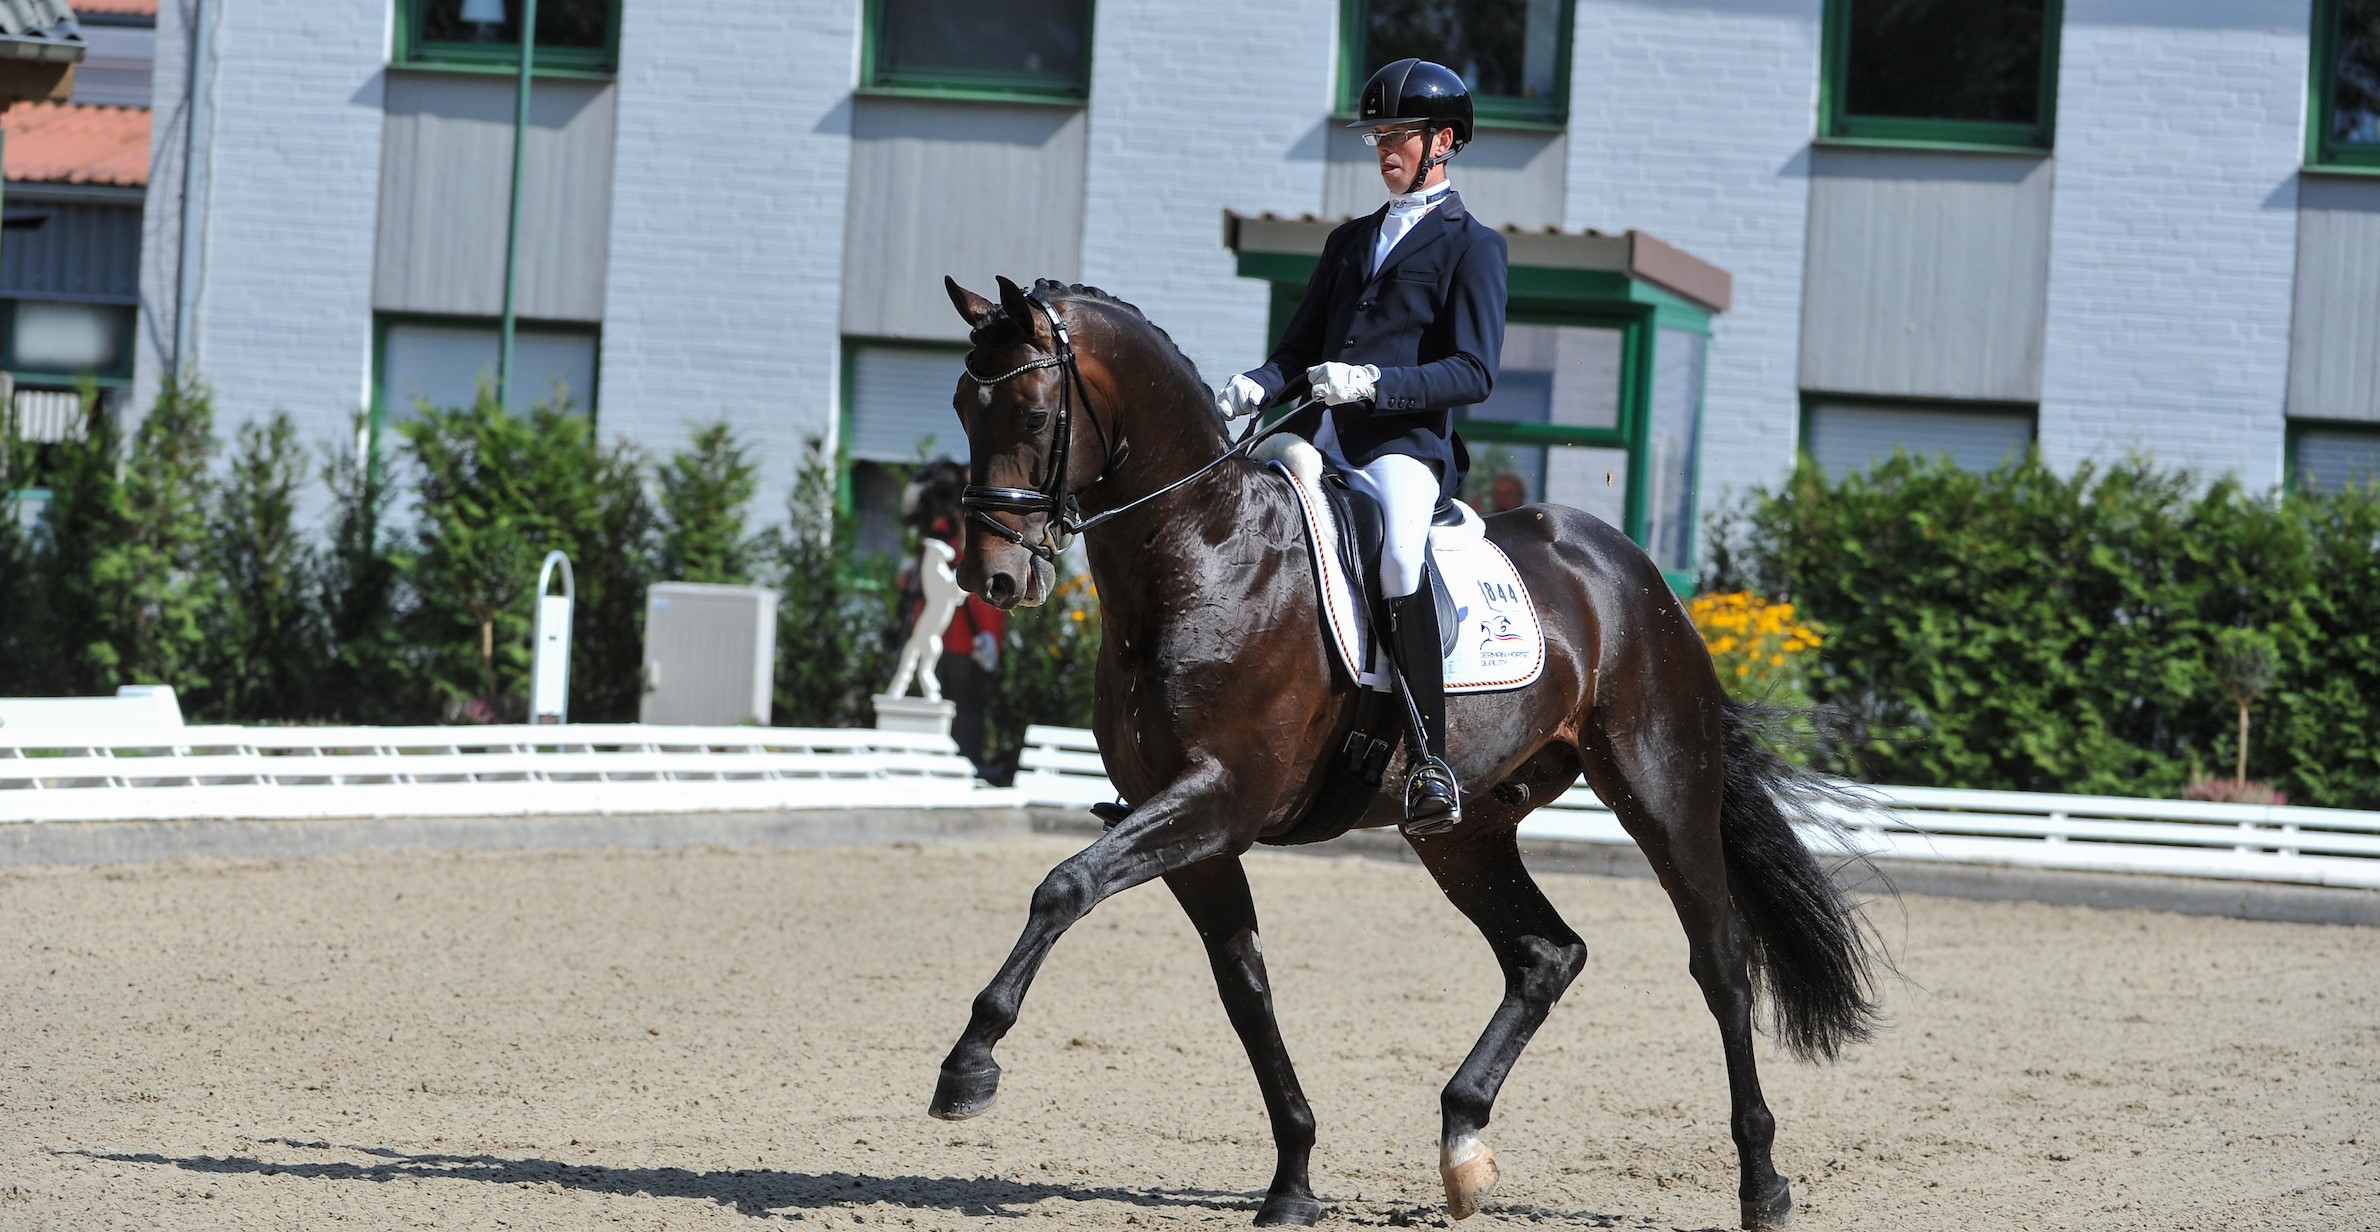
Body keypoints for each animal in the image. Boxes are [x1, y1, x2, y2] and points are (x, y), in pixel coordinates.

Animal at [928, 280, 1875, 1232]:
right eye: (963, 406)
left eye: (1033, 410)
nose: (992, 579)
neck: (1204, 554)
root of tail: (1637, 573)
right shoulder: (1195, 832)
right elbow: (1245, 991)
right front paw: (1293, 1181)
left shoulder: (1217, 799)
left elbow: (1065, 885)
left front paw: (969, 1064)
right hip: (1464, 831)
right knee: (1546, 954)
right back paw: (1463, 1143)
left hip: (1663, 790)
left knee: (1719, 960)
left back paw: (1763, 1183)